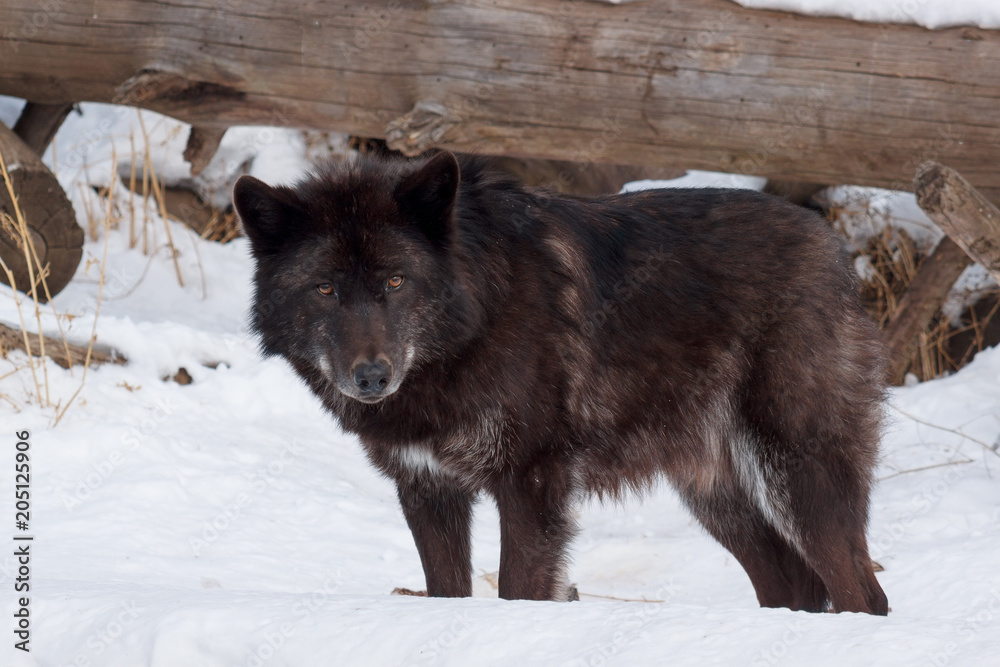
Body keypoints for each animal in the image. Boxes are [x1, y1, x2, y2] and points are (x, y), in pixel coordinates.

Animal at [233, 150, 889, 614]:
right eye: (324, 288)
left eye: (395, 281)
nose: (371, 377)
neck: (474, 319)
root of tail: (832, 245)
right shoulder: (427, 488)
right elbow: (448, 594)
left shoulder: (530, 481)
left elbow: (518, 592)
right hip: (717, 495)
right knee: (797, 586)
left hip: (796, 474)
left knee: (862, 591)